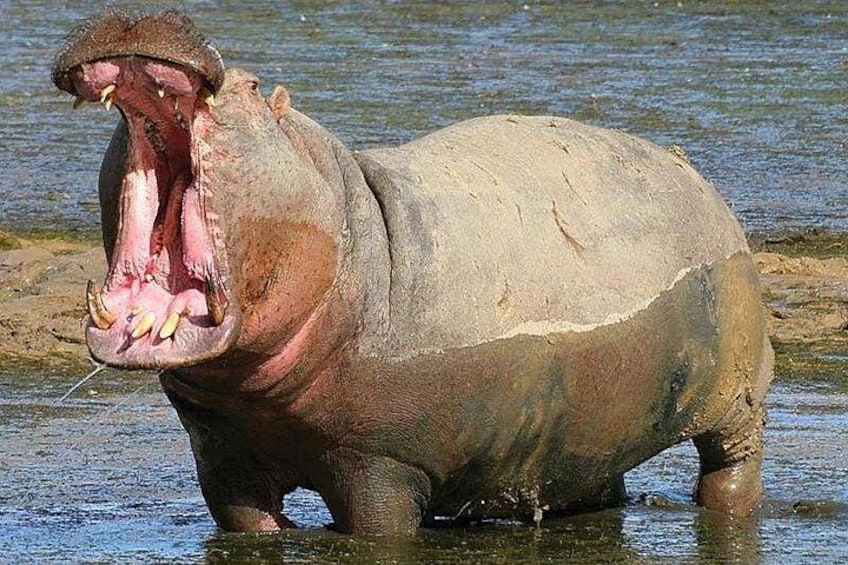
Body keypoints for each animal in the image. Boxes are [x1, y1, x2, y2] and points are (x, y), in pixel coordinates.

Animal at [52, 10, 773, 535]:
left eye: (253, 88)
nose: (133, 18)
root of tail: (695, 174)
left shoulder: (382, 465)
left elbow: (378, 527)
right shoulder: (223, 457)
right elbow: (248, 523)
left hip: (737, 399)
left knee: (731, 466)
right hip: (586, 436)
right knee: (597, 480)